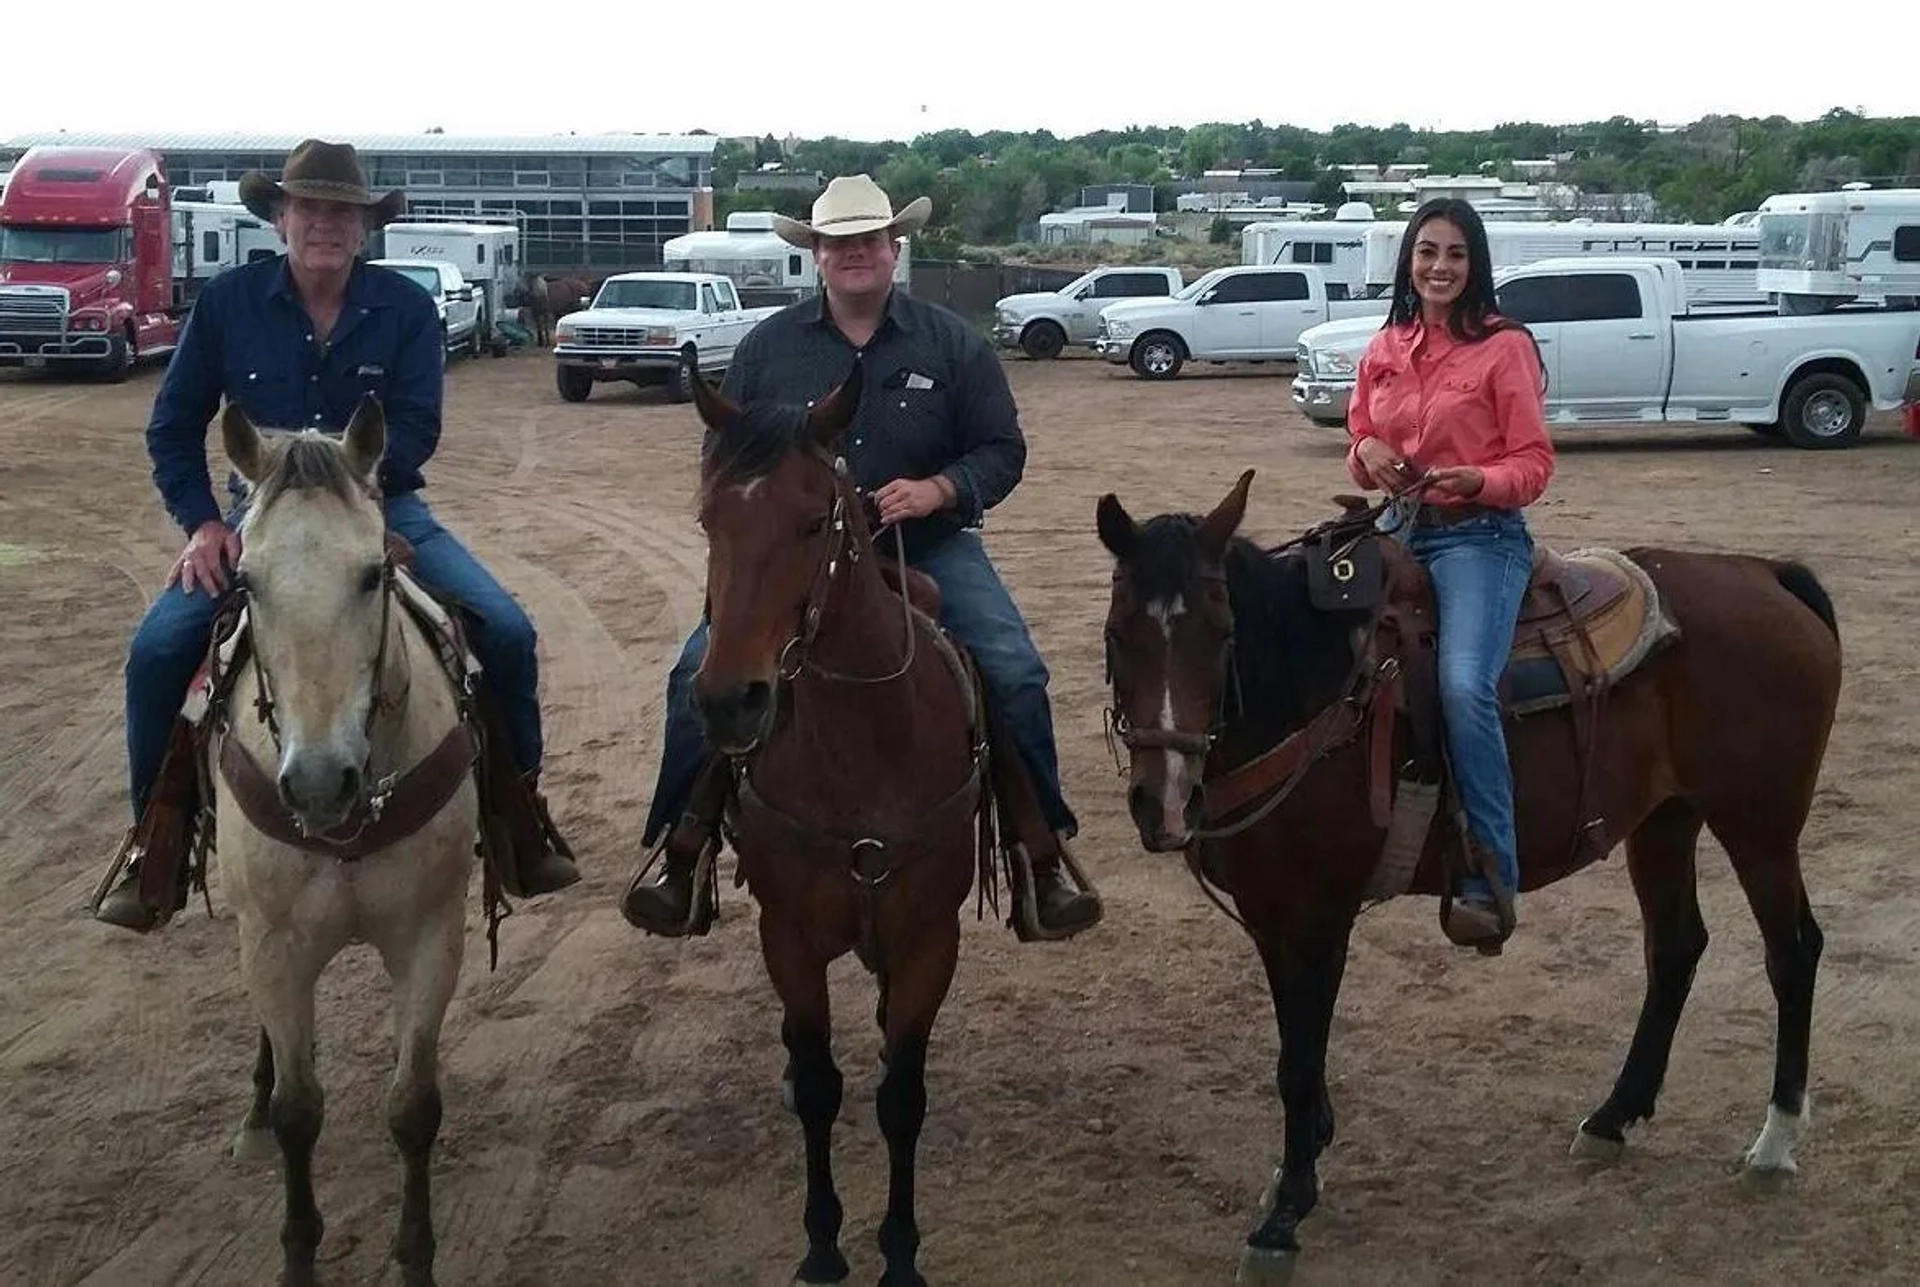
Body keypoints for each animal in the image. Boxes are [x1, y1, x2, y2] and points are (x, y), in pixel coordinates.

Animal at [207, 403, 480, 1287]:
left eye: (372, 573)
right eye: (246, 581)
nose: (321, 782)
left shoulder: (431, 934)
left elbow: (412, 1104)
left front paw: (416, 1256)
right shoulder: (274, 944)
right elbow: (300, 1110)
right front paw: (298, 1252)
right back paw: (254, 1108)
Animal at [691, 357, 998, 1283]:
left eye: (812, 519)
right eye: (708, 517)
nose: (730, 700)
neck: (867, 745)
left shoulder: (930, 937)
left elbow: (901, 1094)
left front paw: (899, 1252)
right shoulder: (787, 935)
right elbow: (823, 1084)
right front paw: (823, 1245)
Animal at [1090, 474, 1835, 1283]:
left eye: (1223, 632)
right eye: (1117, 634)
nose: (1165, 800)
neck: (1314, 690)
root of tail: (1766, 573)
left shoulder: (1319, 917)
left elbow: (1298, 1060)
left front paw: (1284, 1214)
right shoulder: (1270, 914)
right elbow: (1296, 1047)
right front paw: (1305, 1156)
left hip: (1758, 826)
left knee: (1792, 952)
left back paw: (1775, 1141)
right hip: (1665, 820)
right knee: (1675, 948)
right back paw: (1613, 1116)